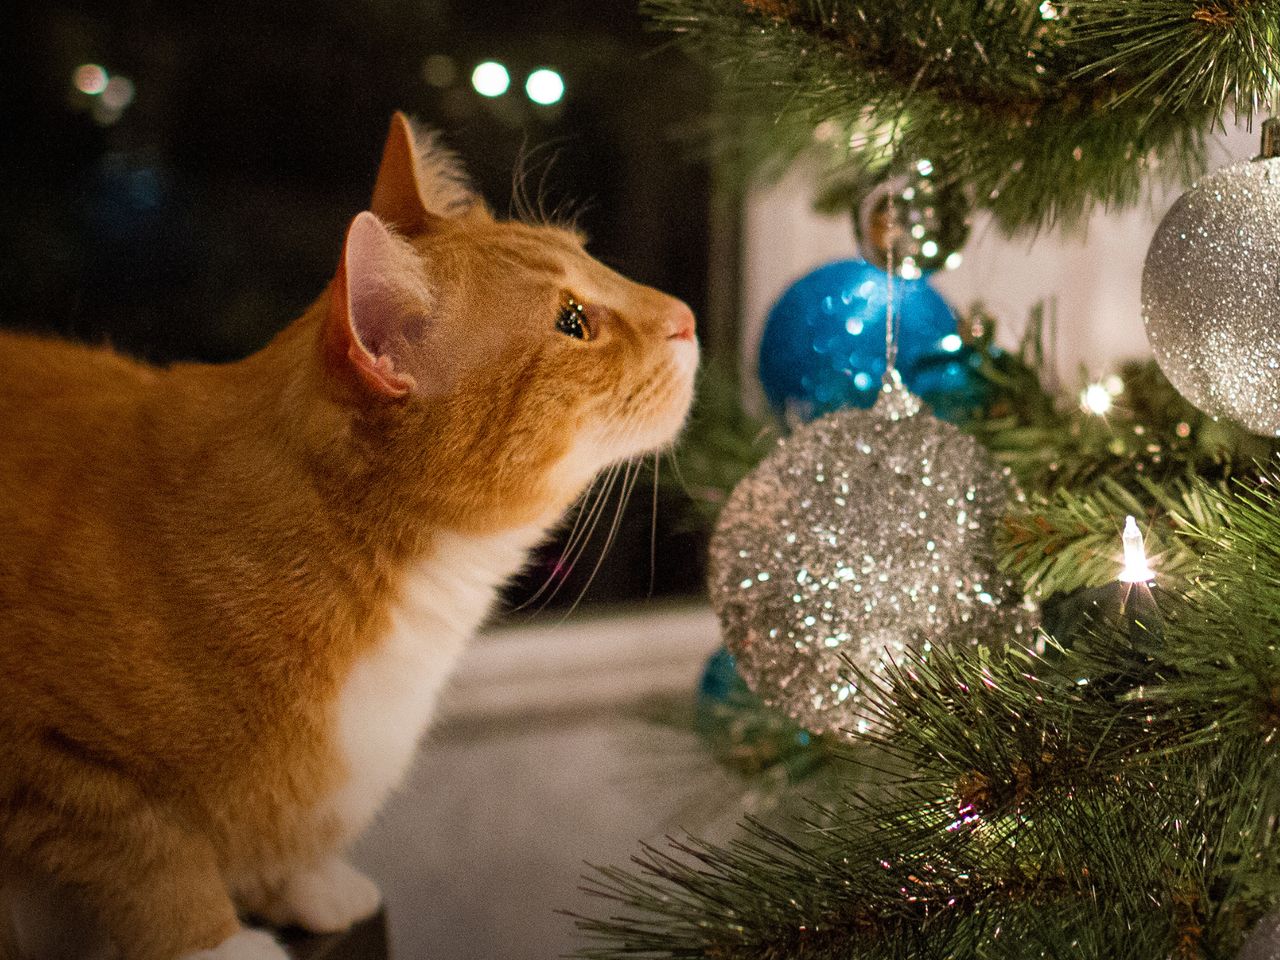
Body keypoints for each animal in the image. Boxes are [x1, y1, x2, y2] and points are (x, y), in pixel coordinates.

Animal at [0, 114, 701, 960]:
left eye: (591, 253)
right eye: (573, 322)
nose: (687, 315)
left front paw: (306, 884)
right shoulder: (60, 765)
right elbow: (149, 862)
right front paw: (217, 941)